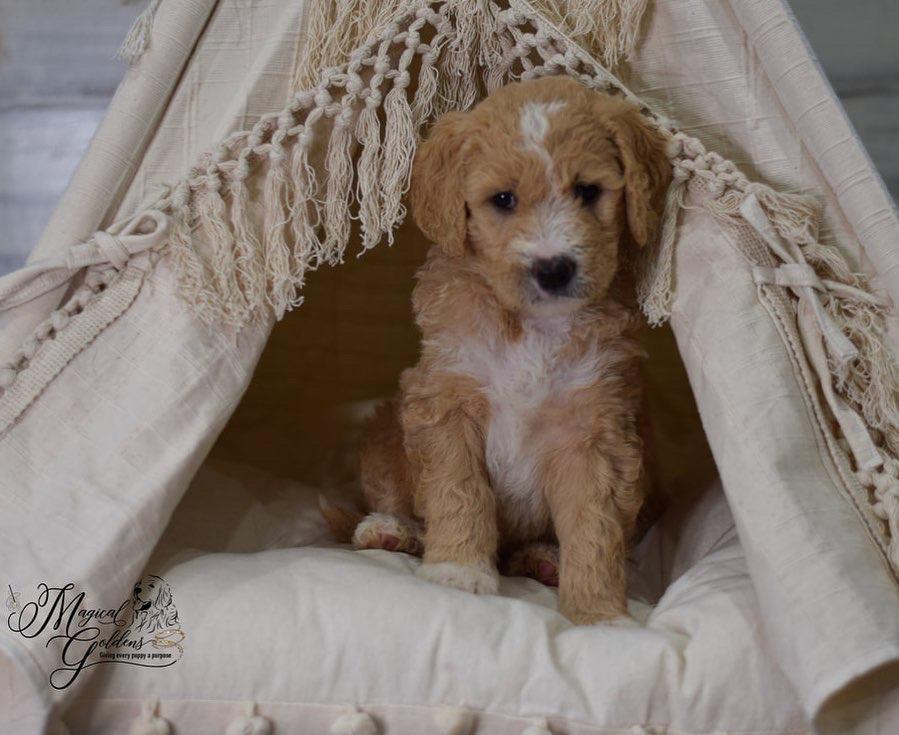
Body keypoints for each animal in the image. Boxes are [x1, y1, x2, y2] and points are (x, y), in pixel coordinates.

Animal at [322, 76, 671, 624]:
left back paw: (543, 559)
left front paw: (600, 614)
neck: (530, 327)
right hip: (383, 435)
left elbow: (595, 527)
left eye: (587, 191)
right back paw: (392, 529)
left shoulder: (595, 431)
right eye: (503, 199)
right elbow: (459, 489)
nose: (553, 268)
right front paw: (458, 570)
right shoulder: (447, 401)